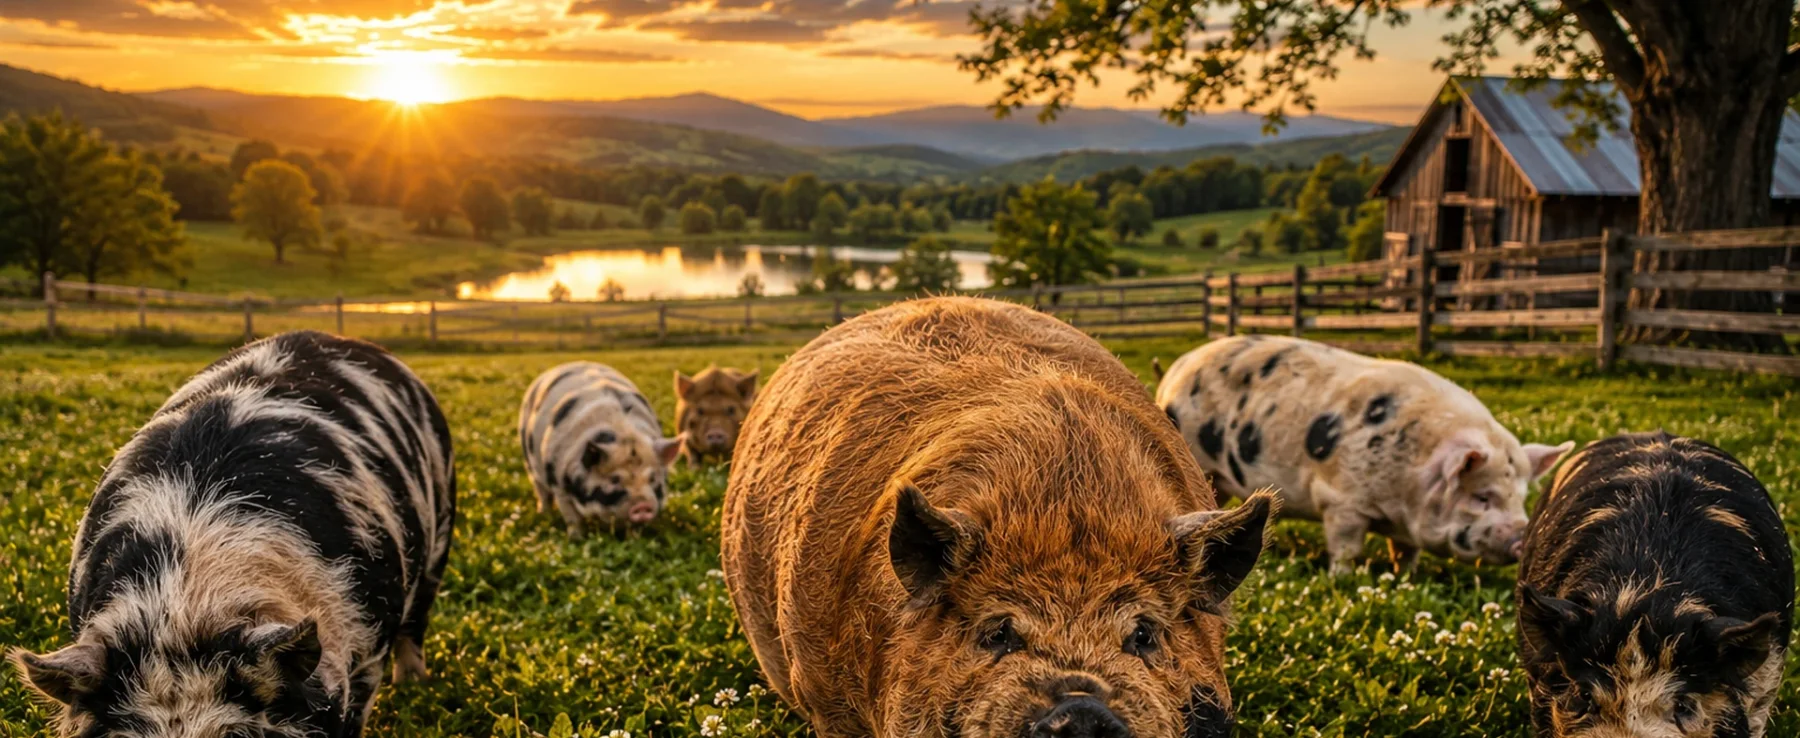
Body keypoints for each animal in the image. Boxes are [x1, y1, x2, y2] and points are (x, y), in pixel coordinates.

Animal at [520, 361, 683, 536]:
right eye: (614, 479)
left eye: (652, 479)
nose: (642, 506)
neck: (624, 433)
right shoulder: (559, 486)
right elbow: (572, 518)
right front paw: (577, 538)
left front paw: (634, 538)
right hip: (529, 464)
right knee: (541, 491)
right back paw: (544, 514)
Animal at [1155, 335, 1572, 573]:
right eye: (1482, 496)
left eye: (1520, 498)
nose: (1522, 536)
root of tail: (1175, 370)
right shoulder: (1342, 500)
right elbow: (1347, 547)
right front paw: (1341, 577)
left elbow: (1405, 553)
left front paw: (1404, 579)